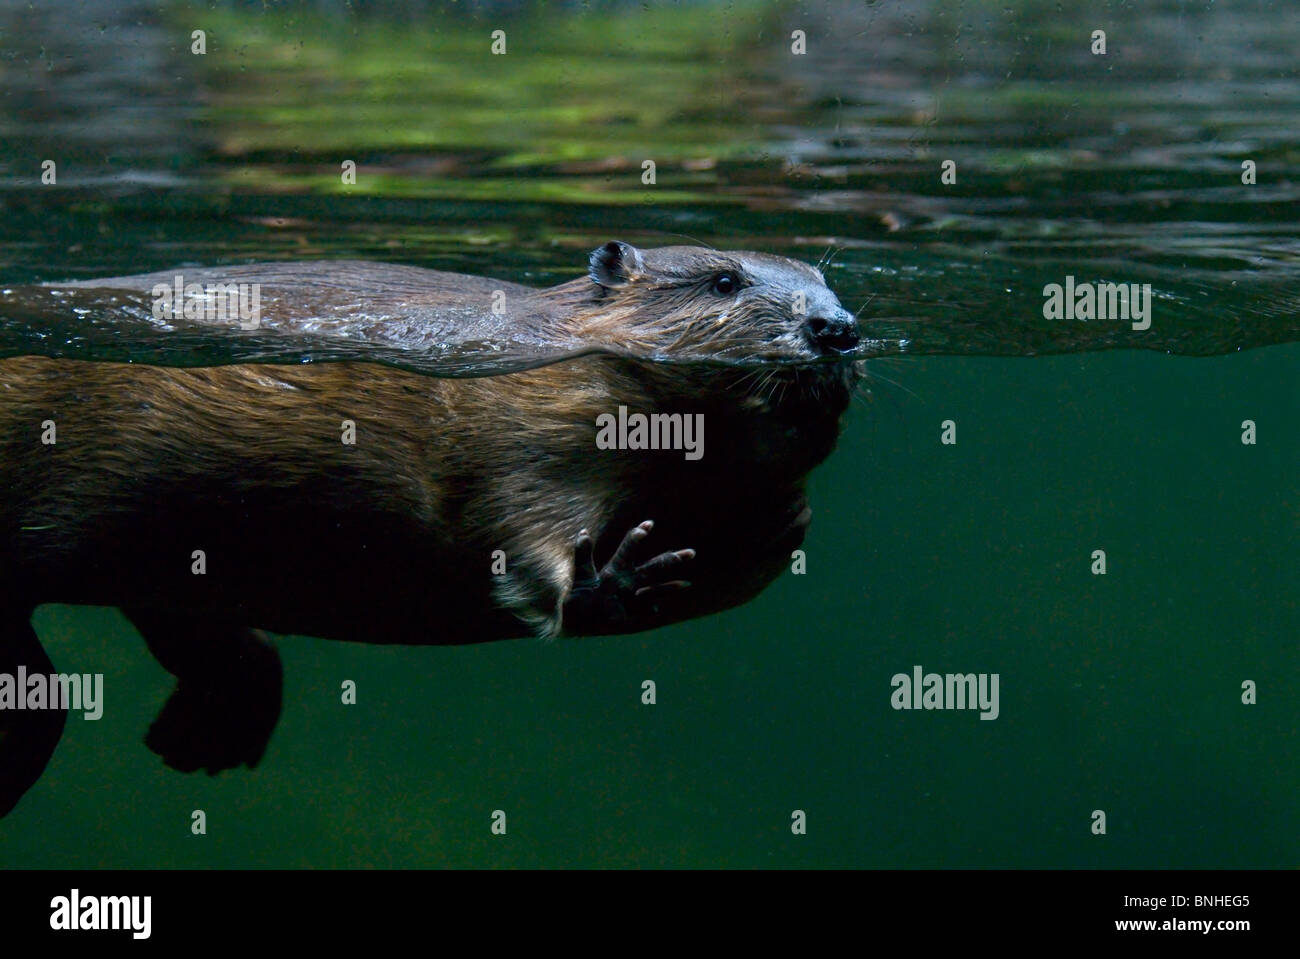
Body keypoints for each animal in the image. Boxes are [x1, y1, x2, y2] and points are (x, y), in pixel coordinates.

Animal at [0, 240, 863, 816]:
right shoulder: (524, 423)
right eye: (724, 280)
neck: (526, 333)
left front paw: (774, 513)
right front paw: (620, 576)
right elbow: (515, 526)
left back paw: (208, 735)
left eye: (825, 281)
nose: (838, 328)